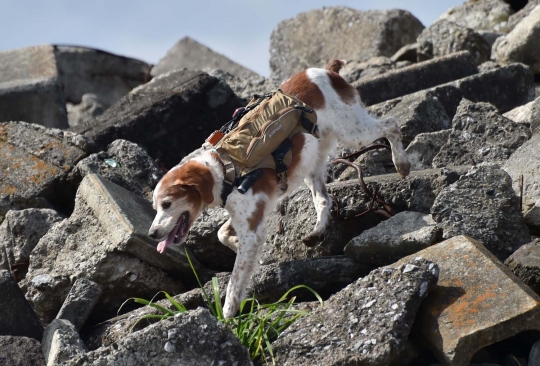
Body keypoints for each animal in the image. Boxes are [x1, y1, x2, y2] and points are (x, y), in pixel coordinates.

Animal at [148, 59, 410, 318]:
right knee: (324, 199)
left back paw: (402, 163)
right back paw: (317, 232)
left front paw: (227, 316)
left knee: (392, 125)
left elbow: (234, 282)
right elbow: (222, 233)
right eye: (156, 207)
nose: (152, 234)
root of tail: (326, 70)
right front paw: (251, 254)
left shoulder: (252, 226)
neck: (224, 169)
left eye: (167, 204)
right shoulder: (250, 215)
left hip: (353, 132)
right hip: (311, 161)